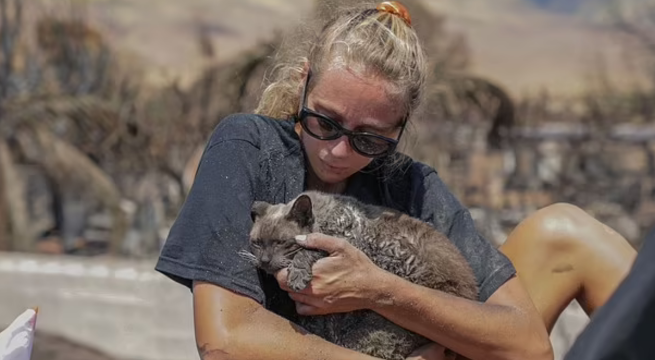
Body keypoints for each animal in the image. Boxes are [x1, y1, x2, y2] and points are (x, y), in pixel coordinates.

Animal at [243, 191, 480, 360]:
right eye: (256, 243)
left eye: (280, 242)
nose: (264, 261)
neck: (324, 216)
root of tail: (471, 293)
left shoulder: (342, 242)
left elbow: (307, 250)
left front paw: (298, 275)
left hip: (374, 336)